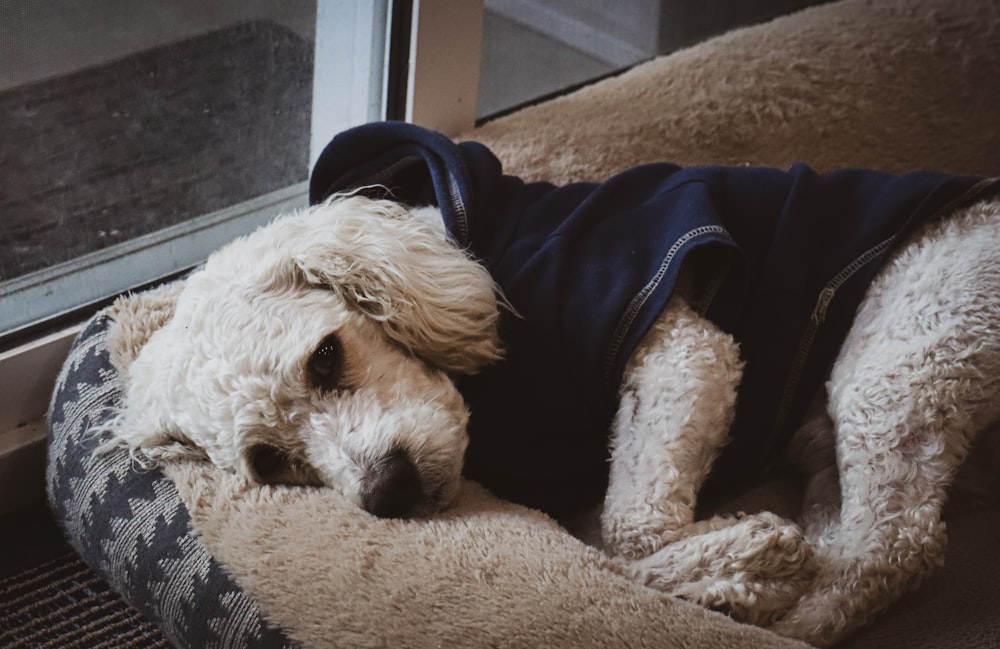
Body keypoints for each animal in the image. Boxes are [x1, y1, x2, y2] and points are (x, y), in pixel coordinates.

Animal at [109, 190, 1000, 644]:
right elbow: (608, 551)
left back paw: (802, 606)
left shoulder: (682, 348)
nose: (390, 491)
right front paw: (739, 567)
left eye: (326, 357)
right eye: (270, 461)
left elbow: (631, 533)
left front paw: (739, 567)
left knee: (893, 549)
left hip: (910, 345)